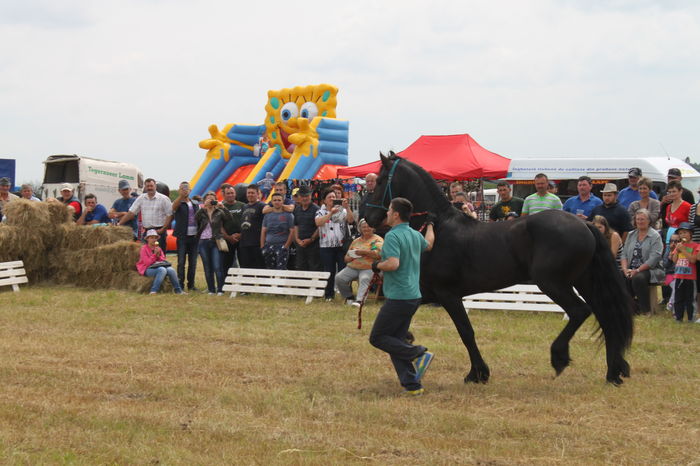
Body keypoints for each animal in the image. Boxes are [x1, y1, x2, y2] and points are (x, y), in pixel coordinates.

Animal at [364, 152, 634, 385]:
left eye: (379, 181)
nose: (368, 218)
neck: (437, 228)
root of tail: (585, 224)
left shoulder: (447, 294)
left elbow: (466, 331)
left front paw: (478, 373)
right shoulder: (426, 293)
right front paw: (411, 342)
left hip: (552, 283)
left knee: (580, 311)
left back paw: (559, 357)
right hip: (584, 281)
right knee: (606, 317)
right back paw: (614, 372)